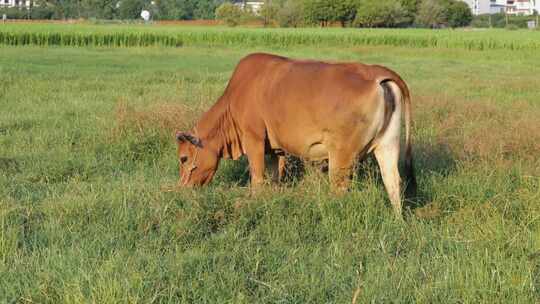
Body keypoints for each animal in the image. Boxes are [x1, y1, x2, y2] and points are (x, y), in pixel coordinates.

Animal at [175, 52, 416, 216]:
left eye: (184, 158)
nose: (182, 189)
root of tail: (375, 73)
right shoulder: (274, 150)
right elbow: (274, 178)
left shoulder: (253, 139)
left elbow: (257, 178)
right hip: (387, 145)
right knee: (393, 181)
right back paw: (397, 220)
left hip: (341, 156)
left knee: (340, 187)